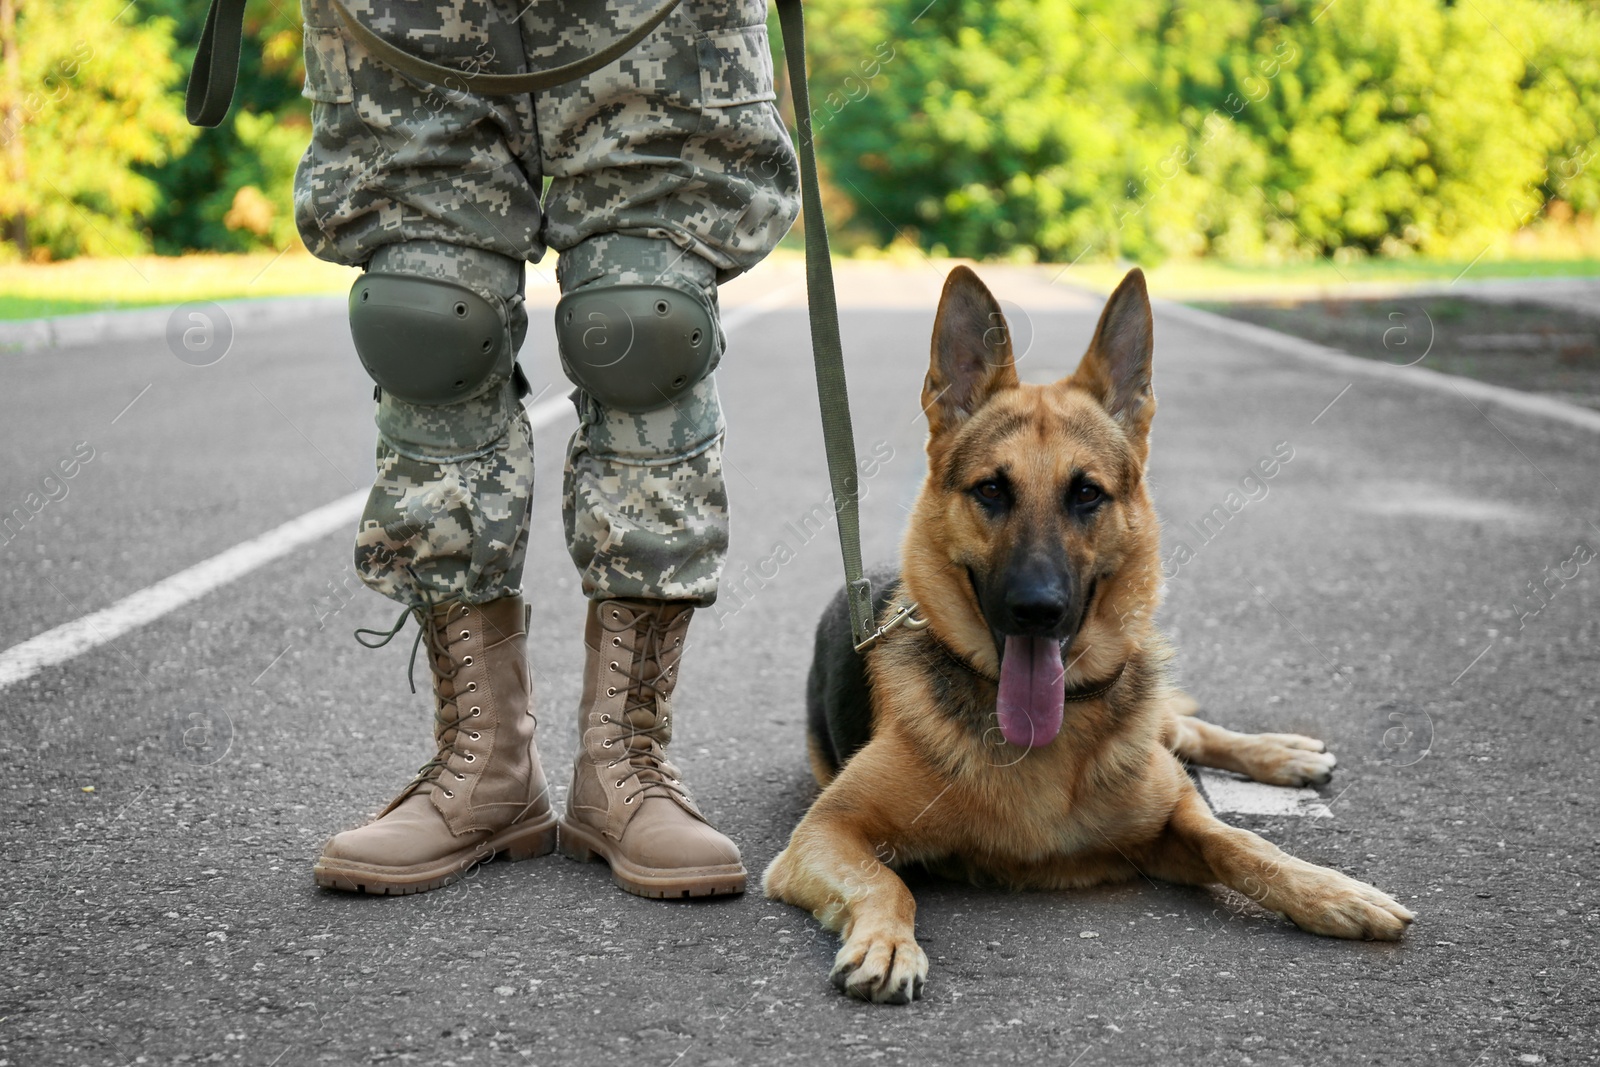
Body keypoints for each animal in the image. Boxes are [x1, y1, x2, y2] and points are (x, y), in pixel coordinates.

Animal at [761, 265, 1414, 1004]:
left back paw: (1284, 753)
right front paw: (888, 941)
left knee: (1187, 728)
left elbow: (1241, 842)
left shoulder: (1174, 815)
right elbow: (887, 880)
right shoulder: (827, 830)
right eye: (991, 490)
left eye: (1087, 494)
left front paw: (1329, 889)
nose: (1037, 610)